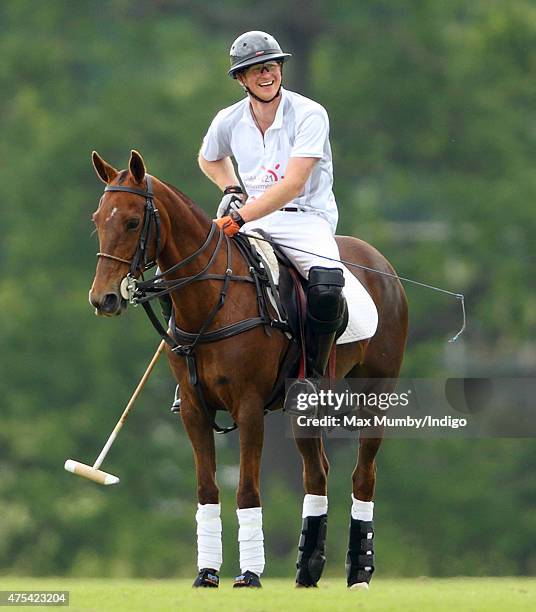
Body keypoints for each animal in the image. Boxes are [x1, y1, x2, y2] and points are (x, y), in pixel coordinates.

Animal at [89, 148, 406, 588]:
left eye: (134, 221)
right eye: (97, 220)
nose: (103, 298)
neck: (211, 300)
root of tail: (382, 264)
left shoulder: (249, 406)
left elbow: (247, 490)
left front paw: (250, 574)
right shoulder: (194, 409)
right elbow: (207, 489)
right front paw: (206, 574)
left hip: (375, 392)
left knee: (364, 475)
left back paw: (359, 571)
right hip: (304, 404)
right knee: (317, 473)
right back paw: (307, 569)